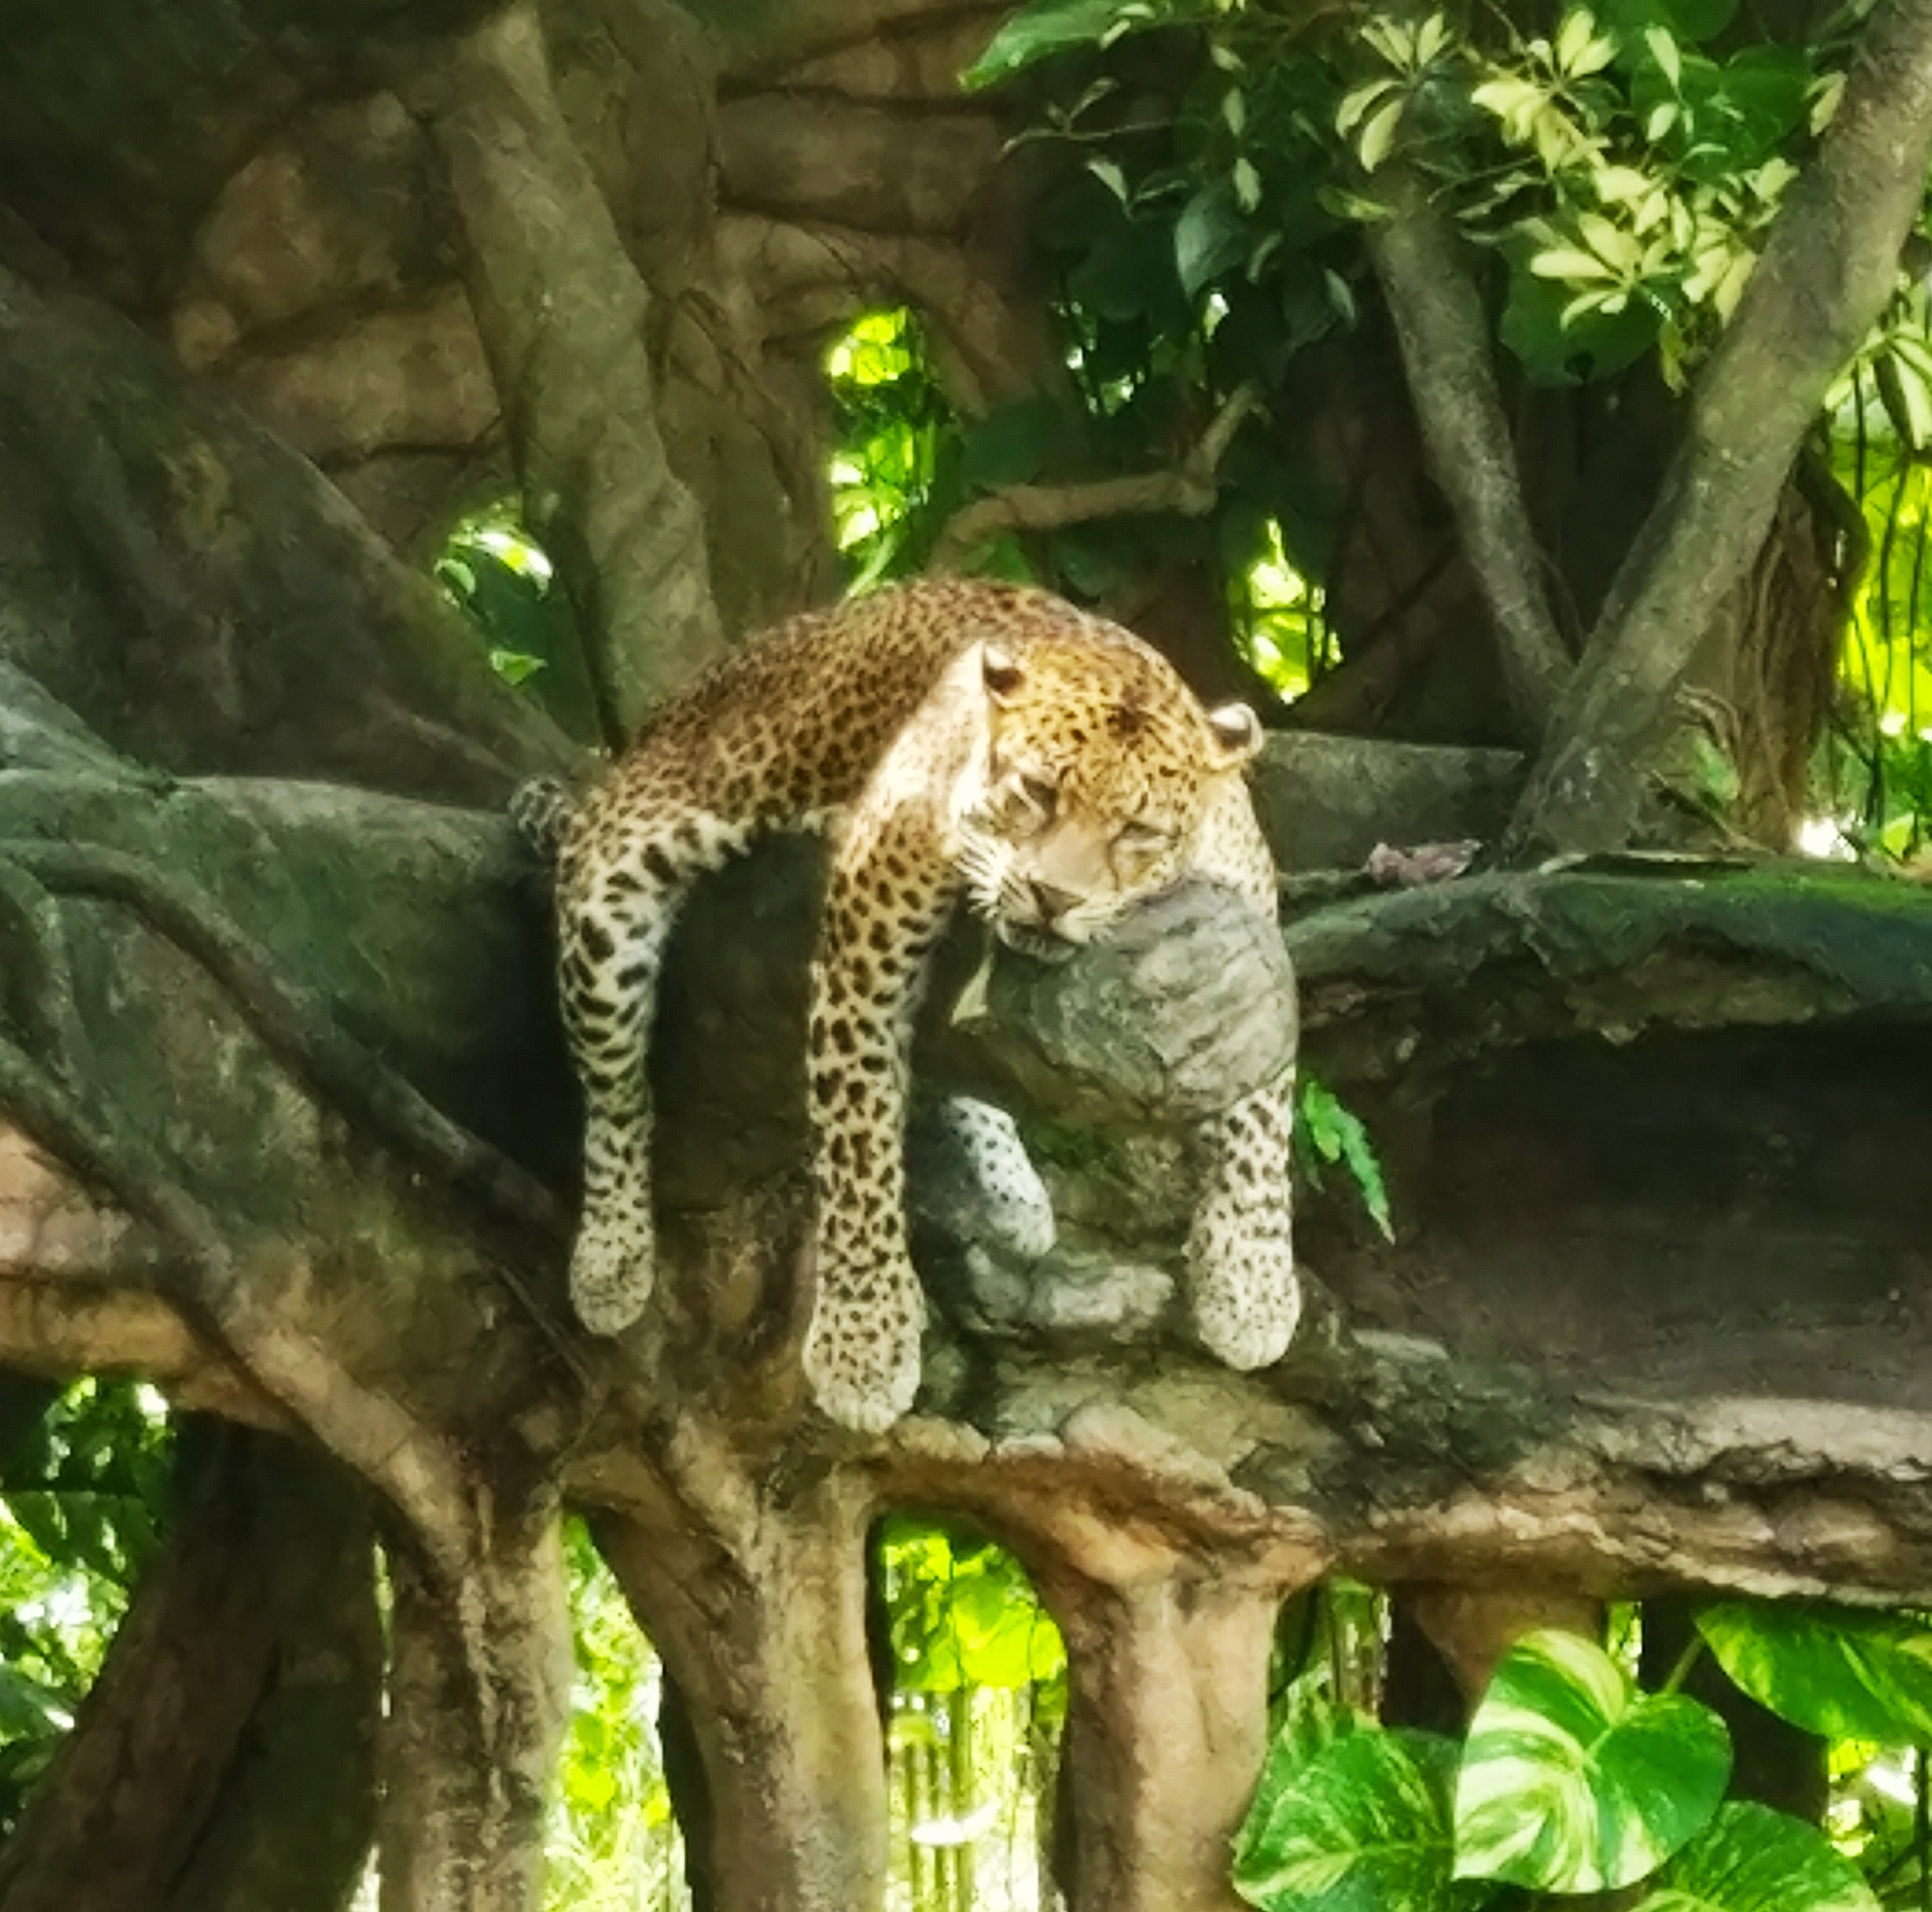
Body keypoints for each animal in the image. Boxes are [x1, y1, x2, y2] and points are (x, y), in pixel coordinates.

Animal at [536, 579, 1305, 1430]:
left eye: (1137, 829)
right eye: (1037, 792)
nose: (1054, 896)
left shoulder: (1256, 920)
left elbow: (1263, 1116)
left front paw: (1253, 1287)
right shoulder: (866, 944)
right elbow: (858, 1145)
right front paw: (863, 1347)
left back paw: (1011, 1188)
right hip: (613, 896)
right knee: (614, 1093)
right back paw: (610, 1257)